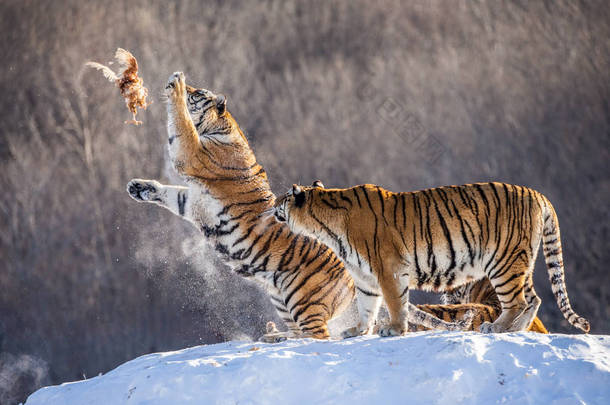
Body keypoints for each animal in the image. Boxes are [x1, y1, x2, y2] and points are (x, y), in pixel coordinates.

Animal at [126, 71, 476, 340]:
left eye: (199, 93)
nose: (190, 87)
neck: (218, 128)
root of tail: (348, 270)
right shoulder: (193, 201)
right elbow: (169, 193)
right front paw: (139, 188)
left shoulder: (192, 157)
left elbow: (180, 127)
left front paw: (176, 85)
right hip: (281, 299)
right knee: (301, 332)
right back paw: (274, 337)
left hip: (303, 300)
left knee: (319, 335)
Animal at [274, 180, 588, 334]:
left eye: (283, 198)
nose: (274, 203)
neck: (325, 227)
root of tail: (537, 194)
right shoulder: (364, 277)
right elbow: (367, 306)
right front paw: (358, 331)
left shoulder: (389, 269)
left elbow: (395, 303)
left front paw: (394, 330)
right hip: (520, 261)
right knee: (535, 299)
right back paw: (516, 330)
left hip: (503, 263)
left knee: (518, 302)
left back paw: (496, 328)